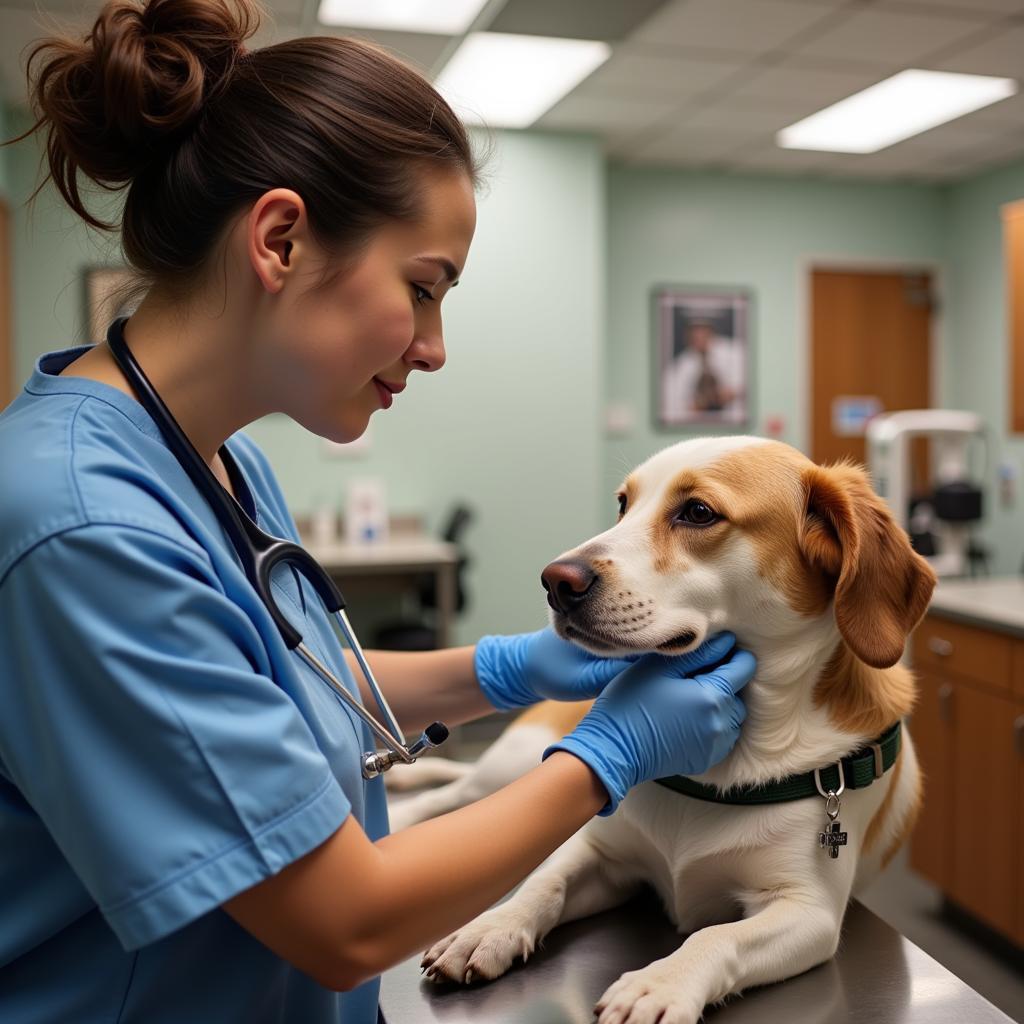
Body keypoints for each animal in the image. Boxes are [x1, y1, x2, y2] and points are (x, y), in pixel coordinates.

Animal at [415, 438, 937, 1024]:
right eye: (623, 504)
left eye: (698, 512)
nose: (555, 580)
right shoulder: (600, 852)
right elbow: (543, 882)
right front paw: (490, 927)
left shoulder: (808, 911)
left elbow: (715, 938)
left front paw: (659, 983)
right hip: (514, 766)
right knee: (450, 793)